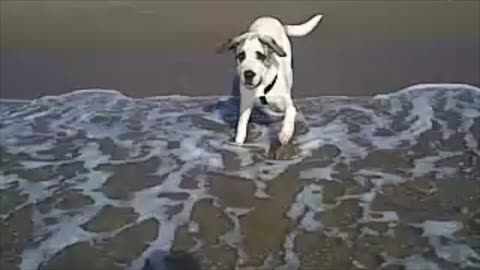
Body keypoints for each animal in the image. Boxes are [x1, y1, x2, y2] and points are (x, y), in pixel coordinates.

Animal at [218, 14, 322, 146]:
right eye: (241, 56)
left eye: (260, 55)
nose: (248, 74)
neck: (262, 87)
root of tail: (268, 18)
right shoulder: (245, 105)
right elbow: (241, 127)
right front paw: (238, 144)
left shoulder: (287, 103)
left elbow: (290, 113)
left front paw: (285, 134)